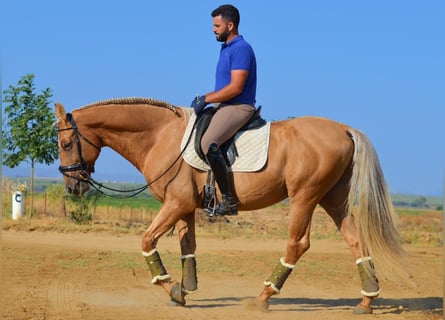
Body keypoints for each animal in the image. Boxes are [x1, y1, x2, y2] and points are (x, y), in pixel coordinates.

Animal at [53, 96, 404, 314]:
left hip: (305, 197)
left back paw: (263, 297)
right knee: (355, 239)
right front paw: (186, 289)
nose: (72, 187)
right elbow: (187, 246)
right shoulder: (183, 206)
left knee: (297, 244)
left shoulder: (175, 203)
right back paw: (367, 300)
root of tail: (343, 129)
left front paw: (171, 288)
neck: (160, 136)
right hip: (333, 199)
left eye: (66, 143)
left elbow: (147, 240)